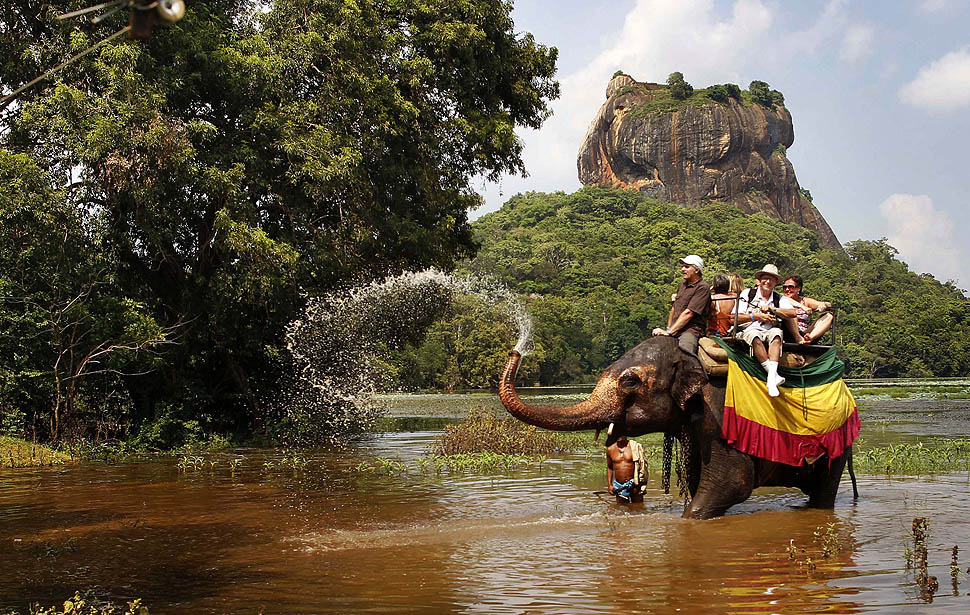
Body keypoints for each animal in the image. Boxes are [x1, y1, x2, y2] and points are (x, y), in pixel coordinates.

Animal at [498, 336, 852, 519]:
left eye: (630, 381)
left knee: (823, 491)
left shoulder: (718, 416)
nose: (516, 350)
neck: (689, 354)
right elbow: (697, 479)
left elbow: (733, 482)